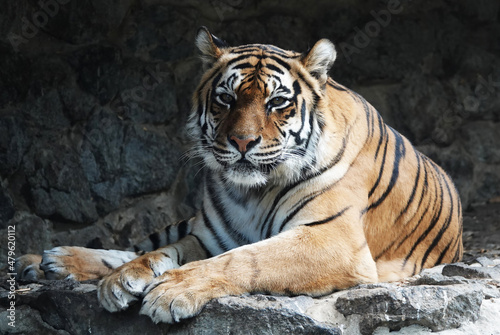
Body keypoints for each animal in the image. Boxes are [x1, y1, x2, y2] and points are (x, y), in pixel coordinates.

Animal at [14, 26, 460, 326]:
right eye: (226, 99)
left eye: (277, 102)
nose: (243, 141)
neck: (251, 192)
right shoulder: (211, 235)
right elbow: (167, 252)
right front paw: (124, 279)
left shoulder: (331, 239)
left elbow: (247, 259)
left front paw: (171, 290)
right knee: (144, 243)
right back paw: (48, 261)